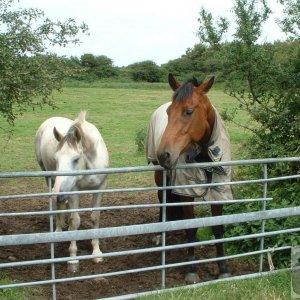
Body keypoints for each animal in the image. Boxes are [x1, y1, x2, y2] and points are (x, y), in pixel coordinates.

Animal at [34, 111, 109, 274]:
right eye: (56, 159)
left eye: (76, 159)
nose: (57, 192)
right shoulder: (74, 191)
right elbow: (75, 220)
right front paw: (73, 258)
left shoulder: (100, 188)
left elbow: (95, 218)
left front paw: (96, 252)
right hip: (48, 177)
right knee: (56, 206)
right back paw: (58, 230)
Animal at [146, 74, 233, 284]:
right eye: (169, 112)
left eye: (188, 111)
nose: (164, 154)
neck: (204, 156)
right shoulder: (186, 193)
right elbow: (190, 228)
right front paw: (191, 270)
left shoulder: (219, 191)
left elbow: (218, 229)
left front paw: (223, 268)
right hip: (160, 176)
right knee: (162, 200)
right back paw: (160, 235)